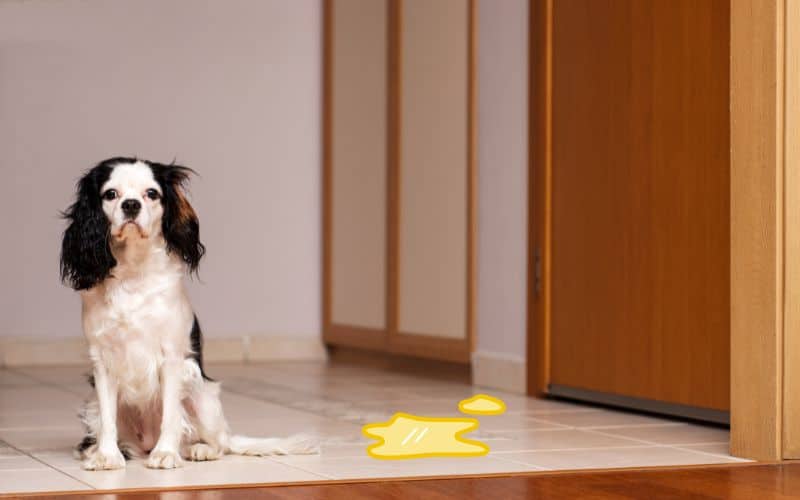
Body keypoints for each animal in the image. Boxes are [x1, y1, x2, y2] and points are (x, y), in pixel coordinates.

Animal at [60, 158, 316, 470]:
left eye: (151, 194)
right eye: (110, 194)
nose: (131, 204)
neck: (134, 271)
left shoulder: (172, 358)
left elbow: (171, 413)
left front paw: (165, 453)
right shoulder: (103, 362)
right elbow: (109, 420)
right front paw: (107, 456)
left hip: (201, 394)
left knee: (219, 443)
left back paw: (199, 449)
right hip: (93, 404)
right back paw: (104, 449)